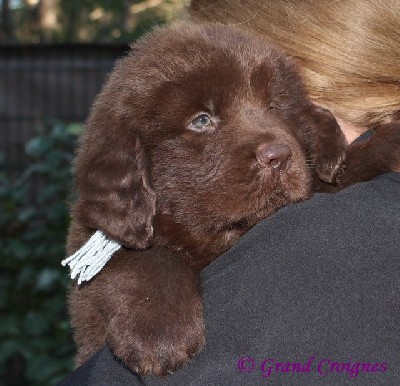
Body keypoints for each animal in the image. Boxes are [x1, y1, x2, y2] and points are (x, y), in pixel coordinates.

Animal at [66, 21, 346, 376]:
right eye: (202, 120)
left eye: (274, 106)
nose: (279, 156)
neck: (217, 234)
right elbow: (141, 255)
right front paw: (160, 333)